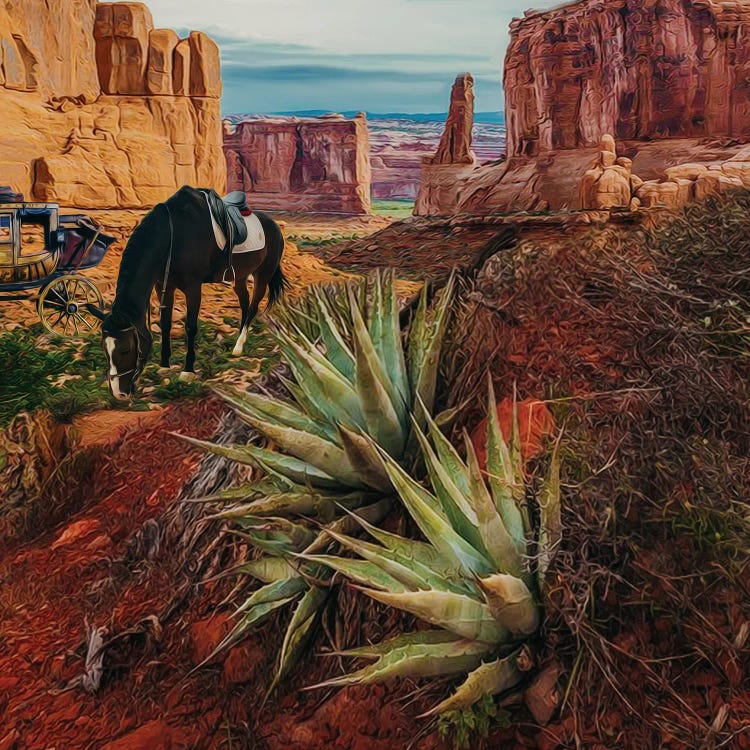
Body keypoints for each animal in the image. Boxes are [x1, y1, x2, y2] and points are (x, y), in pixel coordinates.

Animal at [93, 186, 290, 402]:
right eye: (104, 348)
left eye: (125, 350)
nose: (118, 393)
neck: (174, 234)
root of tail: (275, 226)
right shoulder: (164, 285)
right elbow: (165, 324)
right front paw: (164, 364)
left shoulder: (193, 288)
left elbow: (190, 327)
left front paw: (187, 371)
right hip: (240, 276)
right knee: (245, 304)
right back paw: (239, 341)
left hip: (263, 275)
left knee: (253, 306)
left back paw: (238, 347)